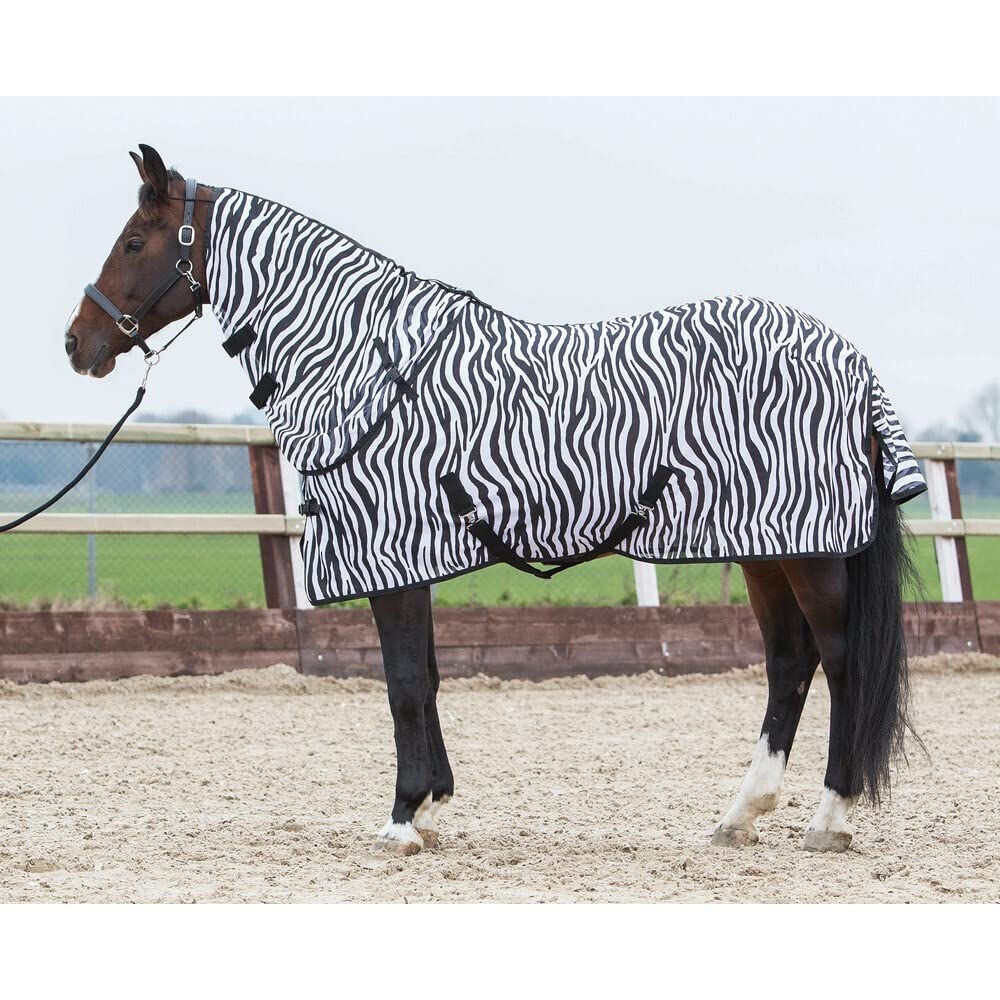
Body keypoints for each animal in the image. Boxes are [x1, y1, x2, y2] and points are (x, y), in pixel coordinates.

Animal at [66, 144, 926, 857]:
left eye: (135, 242)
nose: (78, 344)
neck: (365, 362)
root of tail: (852, 361)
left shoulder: (391, 554)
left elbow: (404, 683)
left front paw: (402, 818)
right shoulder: (407, 558)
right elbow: (427, 676)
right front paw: (433, 804)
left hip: (810, 553)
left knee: (840, 660)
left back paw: (829, 817)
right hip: (764, 547)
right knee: (789, 661)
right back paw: (740, 813)